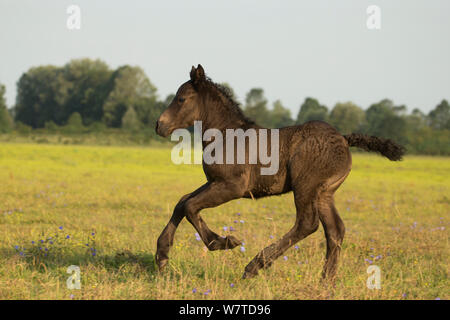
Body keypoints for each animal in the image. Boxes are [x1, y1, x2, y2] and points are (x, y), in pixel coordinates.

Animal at [156, 63, 404, 278]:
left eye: (181, 98)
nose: (159, 125)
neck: (226, 135)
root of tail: (343, 139)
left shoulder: (233, 186)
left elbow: (190, 206)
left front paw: (223, 242)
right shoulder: (215, 181)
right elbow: (182, 202)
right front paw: (161, 255)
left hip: (306, 187)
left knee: (307, 223)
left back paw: (255, 266)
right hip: (324, 193)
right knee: (335, 230)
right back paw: (326, 280)